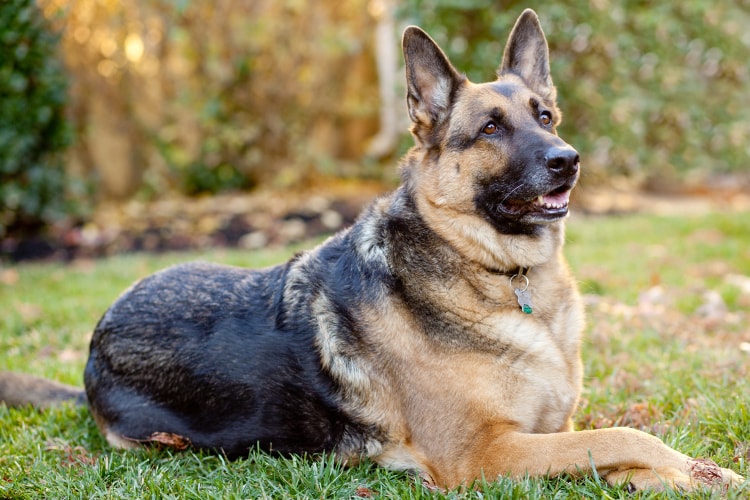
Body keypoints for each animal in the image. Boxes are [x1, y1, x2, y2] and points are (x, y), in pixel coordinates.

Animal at [0, 8, 744, 492]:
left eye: (545, 116)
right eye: (490, 129)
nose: (568, 161)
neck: (503, 277)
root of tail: (96, 336)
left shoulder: (552, 432)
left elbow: (627, 451)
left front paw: (705, 477)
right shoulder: (485, 454)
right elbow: (626, 436)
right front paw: (703, 470)